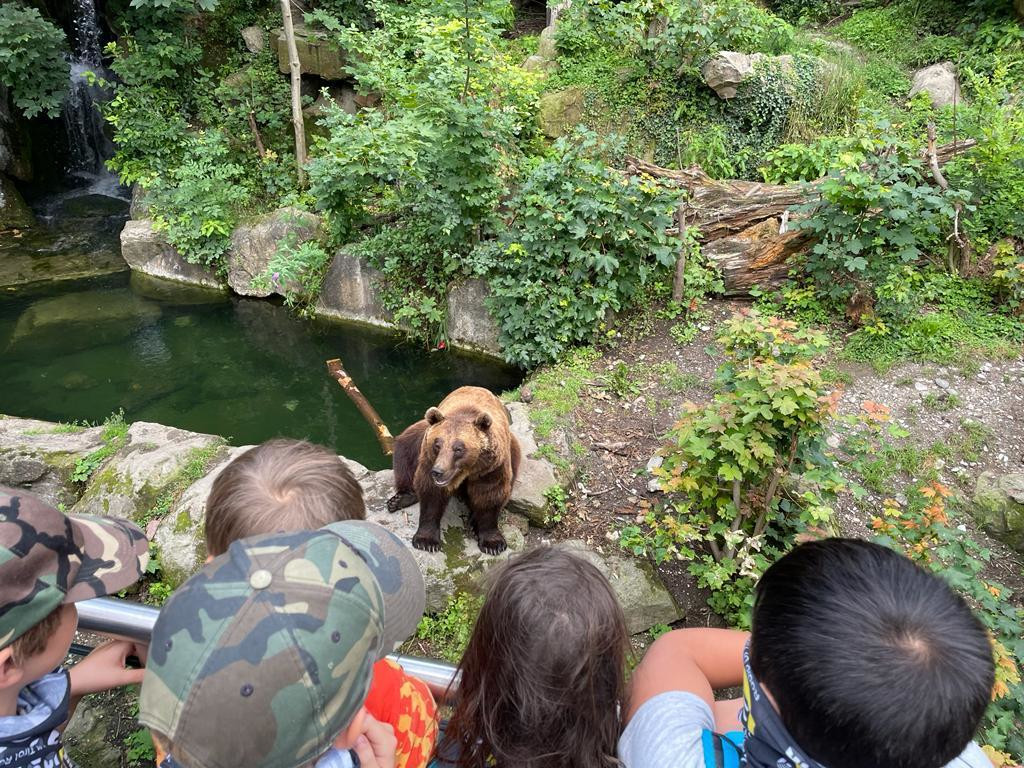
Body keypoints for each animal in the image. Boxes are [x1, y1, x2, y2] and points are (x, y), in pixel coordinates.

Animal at [387, 386, 521, 555]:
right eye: (437, 444)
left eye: (458, 448)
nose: (438, 471)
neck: (468, 471)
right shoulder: (428, 459)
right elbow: (431, 495)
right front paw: (426, 541)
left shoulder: (491, 468)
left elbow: (490, 495)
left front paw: (493, 543)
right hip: (418, 436)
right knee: (405, 448)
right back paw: (400, 499)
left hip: (512, 447)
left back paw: (473, 522)